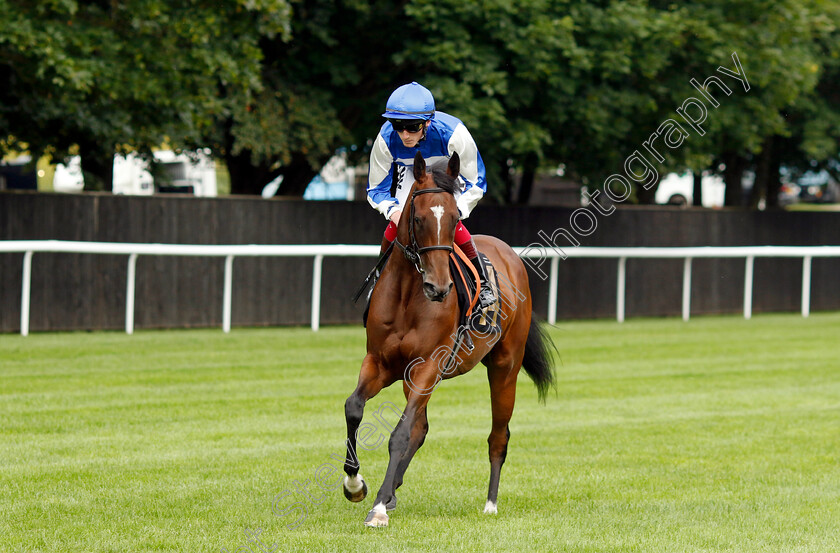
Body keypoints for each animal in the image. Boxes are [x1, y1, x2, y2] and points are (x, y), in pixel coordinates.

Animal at [338, 150, 556, 528]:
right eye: (419, 218)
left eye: (455, 219)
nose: (438, 288)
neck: (407, 296)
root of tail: (510, 255)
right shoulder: (380, 362)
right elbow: (355, 408)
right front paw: (356, 485)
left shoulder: (428, 365)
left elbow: (400, 433)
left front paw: (378, 507)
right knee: (421, 428)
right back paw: (392, 491)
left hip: (505, 367)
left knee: (498, 435)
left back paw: (490, 503)